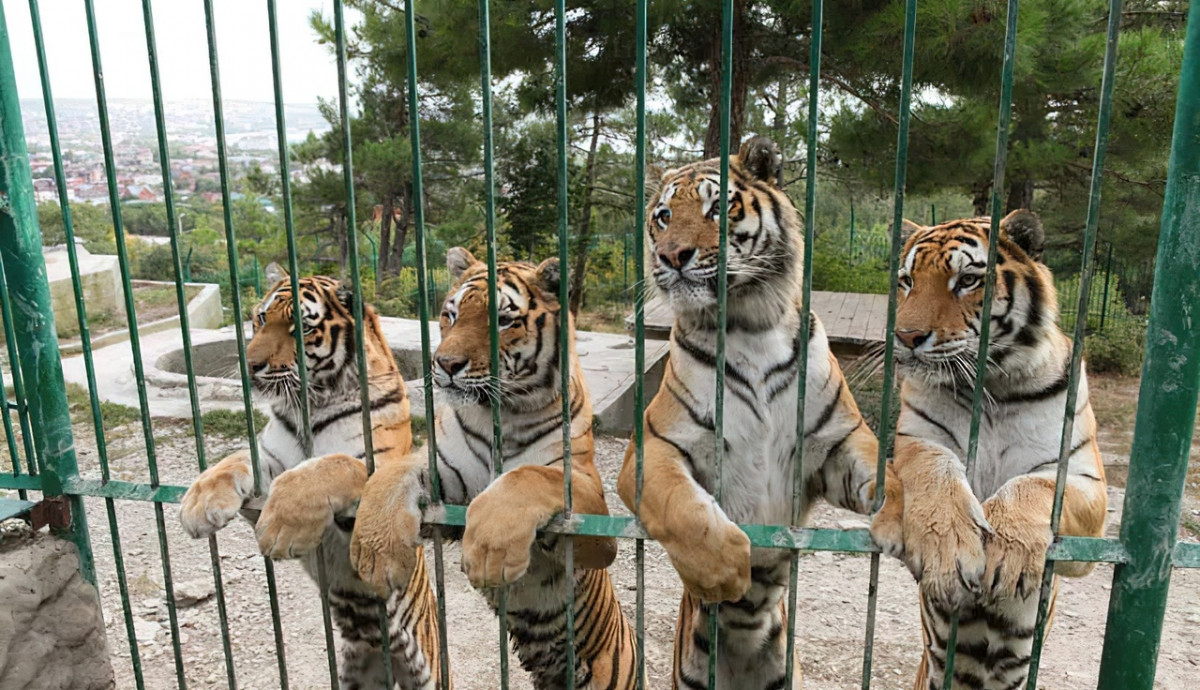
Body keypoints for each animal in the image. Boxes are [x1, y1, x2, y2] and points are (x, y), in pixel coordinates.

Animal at [182, 271, 451, 690]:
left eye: (302, 327)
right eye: (261, 318)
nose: (251, 365)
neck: (313, 403)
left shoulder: (375, 471)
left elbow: (333, 465)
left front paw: (280, 529)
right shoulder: (269, 459)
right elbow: (236, 459)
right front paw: (199, 503)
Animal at [350, 249, 643, 690]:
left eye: (503, 320)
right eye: (450, 314)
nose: (445, 364)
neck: (500, 413)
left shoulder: (594, 519)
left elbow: (530, 476)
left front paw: (490, 550)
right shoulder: (444, 480)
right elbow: (395, 472)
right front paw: (373, 550)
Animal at [619, 136, 892, 690]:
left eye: (716, 208)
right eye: (663, 216)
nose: (671, 255)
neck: (749, 324)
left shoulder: (837, 444)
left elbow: (896, 475)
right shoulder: (652, 445)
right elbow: (684, 507)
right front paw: (728, 568)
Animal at [868, 212, 1108, 690]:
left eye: (967, 280)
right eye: (907, 281)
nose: (906, 336)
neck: (996, 386)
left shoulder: (1086, 484)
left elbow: (1033, 484)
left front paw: (1008, 553)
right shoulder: (918, 442)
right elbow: (936, 470)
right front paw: (947, 548)